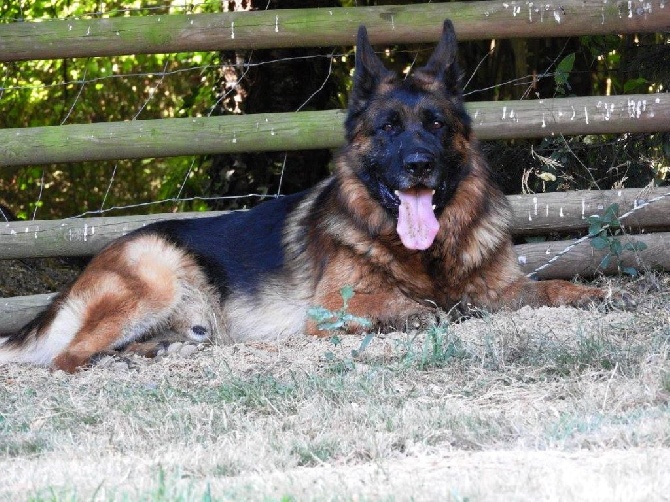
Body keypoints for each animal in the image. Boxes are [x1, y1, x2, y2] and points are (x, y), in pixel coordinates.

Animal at [0, 20, 608, 372]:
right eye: (388, 128)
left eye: (435, 124)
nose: (419, 165)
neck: (428, 255)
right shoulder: (337, 310)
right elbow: (427, 310)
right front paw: (435, 311)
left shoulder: (504, 288)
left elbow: (552, 288)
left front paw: (593, 294)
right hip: (152, 277)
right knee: (67, 359)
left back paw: (166, 349)